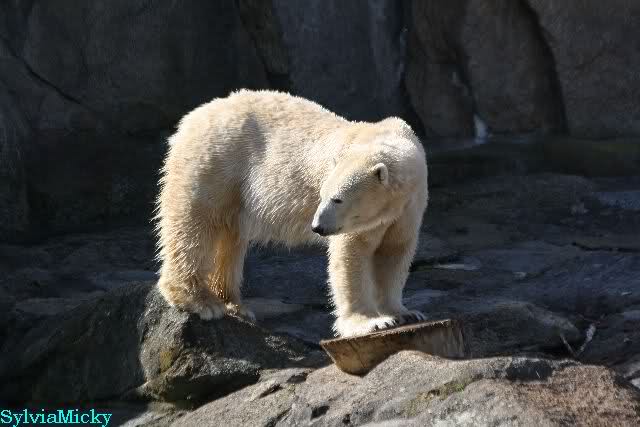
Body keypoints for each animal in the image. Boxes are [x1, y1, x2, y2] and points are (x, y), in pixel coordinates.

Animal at [155, 90, 428, 337]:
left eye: (337, 198)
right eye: (323, 194)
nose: (317, 227)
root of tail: (191, 118)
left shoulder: (408, 208)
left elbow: (394, 252)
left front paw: (403, 313)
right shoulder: (356, 222)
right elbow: (353, 255)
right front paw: (370, 322)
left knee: (230, 236)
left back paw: (235, 304)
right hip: (215, 161)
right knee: (196, 225)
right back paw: (201, 302)